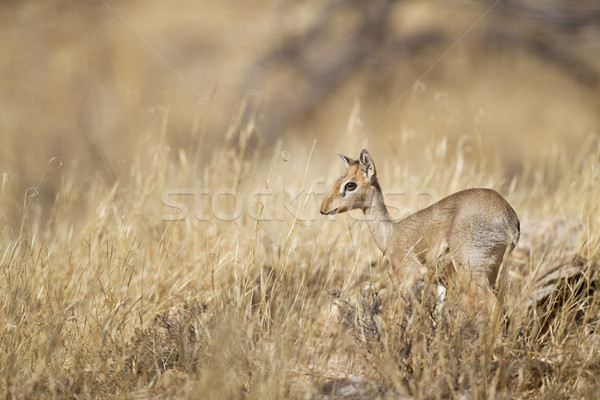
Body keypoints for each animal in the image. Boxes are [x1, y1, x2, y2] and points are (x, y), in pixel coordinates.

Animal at [318, 150, 520, 304]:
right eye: (338, 181)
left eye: (350, 185)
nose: (323, 208)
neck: (390, 234)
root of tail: (506, 215)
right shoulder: (440, 283)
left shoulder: (407, 279)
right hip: (494, 272)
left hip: (471, 271)